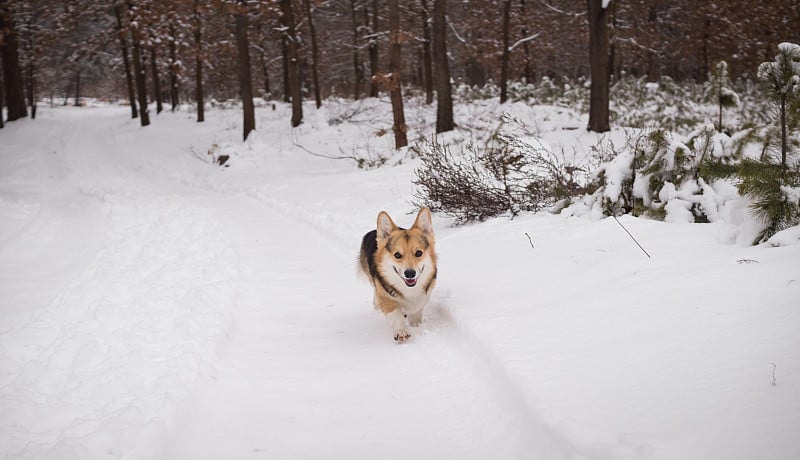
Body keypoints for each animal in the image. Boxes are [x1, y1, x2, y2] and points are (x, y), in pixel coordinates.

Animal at [360, 208, 438, 342]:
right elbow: (395, 313)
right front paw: (401, 331)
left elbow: (417, 309)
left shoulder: (424, 294)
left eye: (418, 253)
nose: (410, 273)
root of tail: (373, 231)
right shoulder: (386, 296)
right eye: (397, 255)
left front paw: (415, 324)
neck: (408, 289)